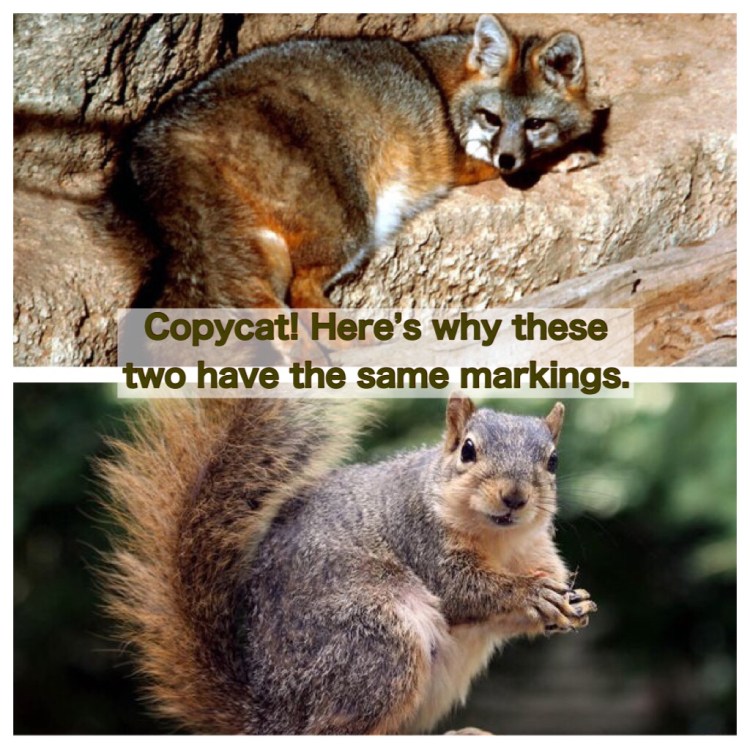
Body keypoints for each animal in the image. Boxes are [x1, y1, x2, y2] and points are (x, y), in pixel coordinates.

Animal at [101, 395, 596, 734]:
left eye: (552, 460)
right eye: (468, 451)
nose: (514, 497)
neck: (500, 541)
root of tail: (269, 715)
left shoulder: (535, 548)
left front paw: (574, 604)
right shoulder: (420, 538)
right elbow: (463, 592)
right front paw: (530, 594)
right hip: (375, 642)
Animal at [125, 14, 598, 309]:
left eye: (535, 123)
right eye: (492, 118)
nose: (507, 156)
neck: (444, 82)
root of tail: (166, 126)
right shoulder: (460, 160)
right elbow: (527, 164)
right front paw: (568, 155)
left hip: (264, 245)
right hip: (350, 228)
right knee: (302, 295)